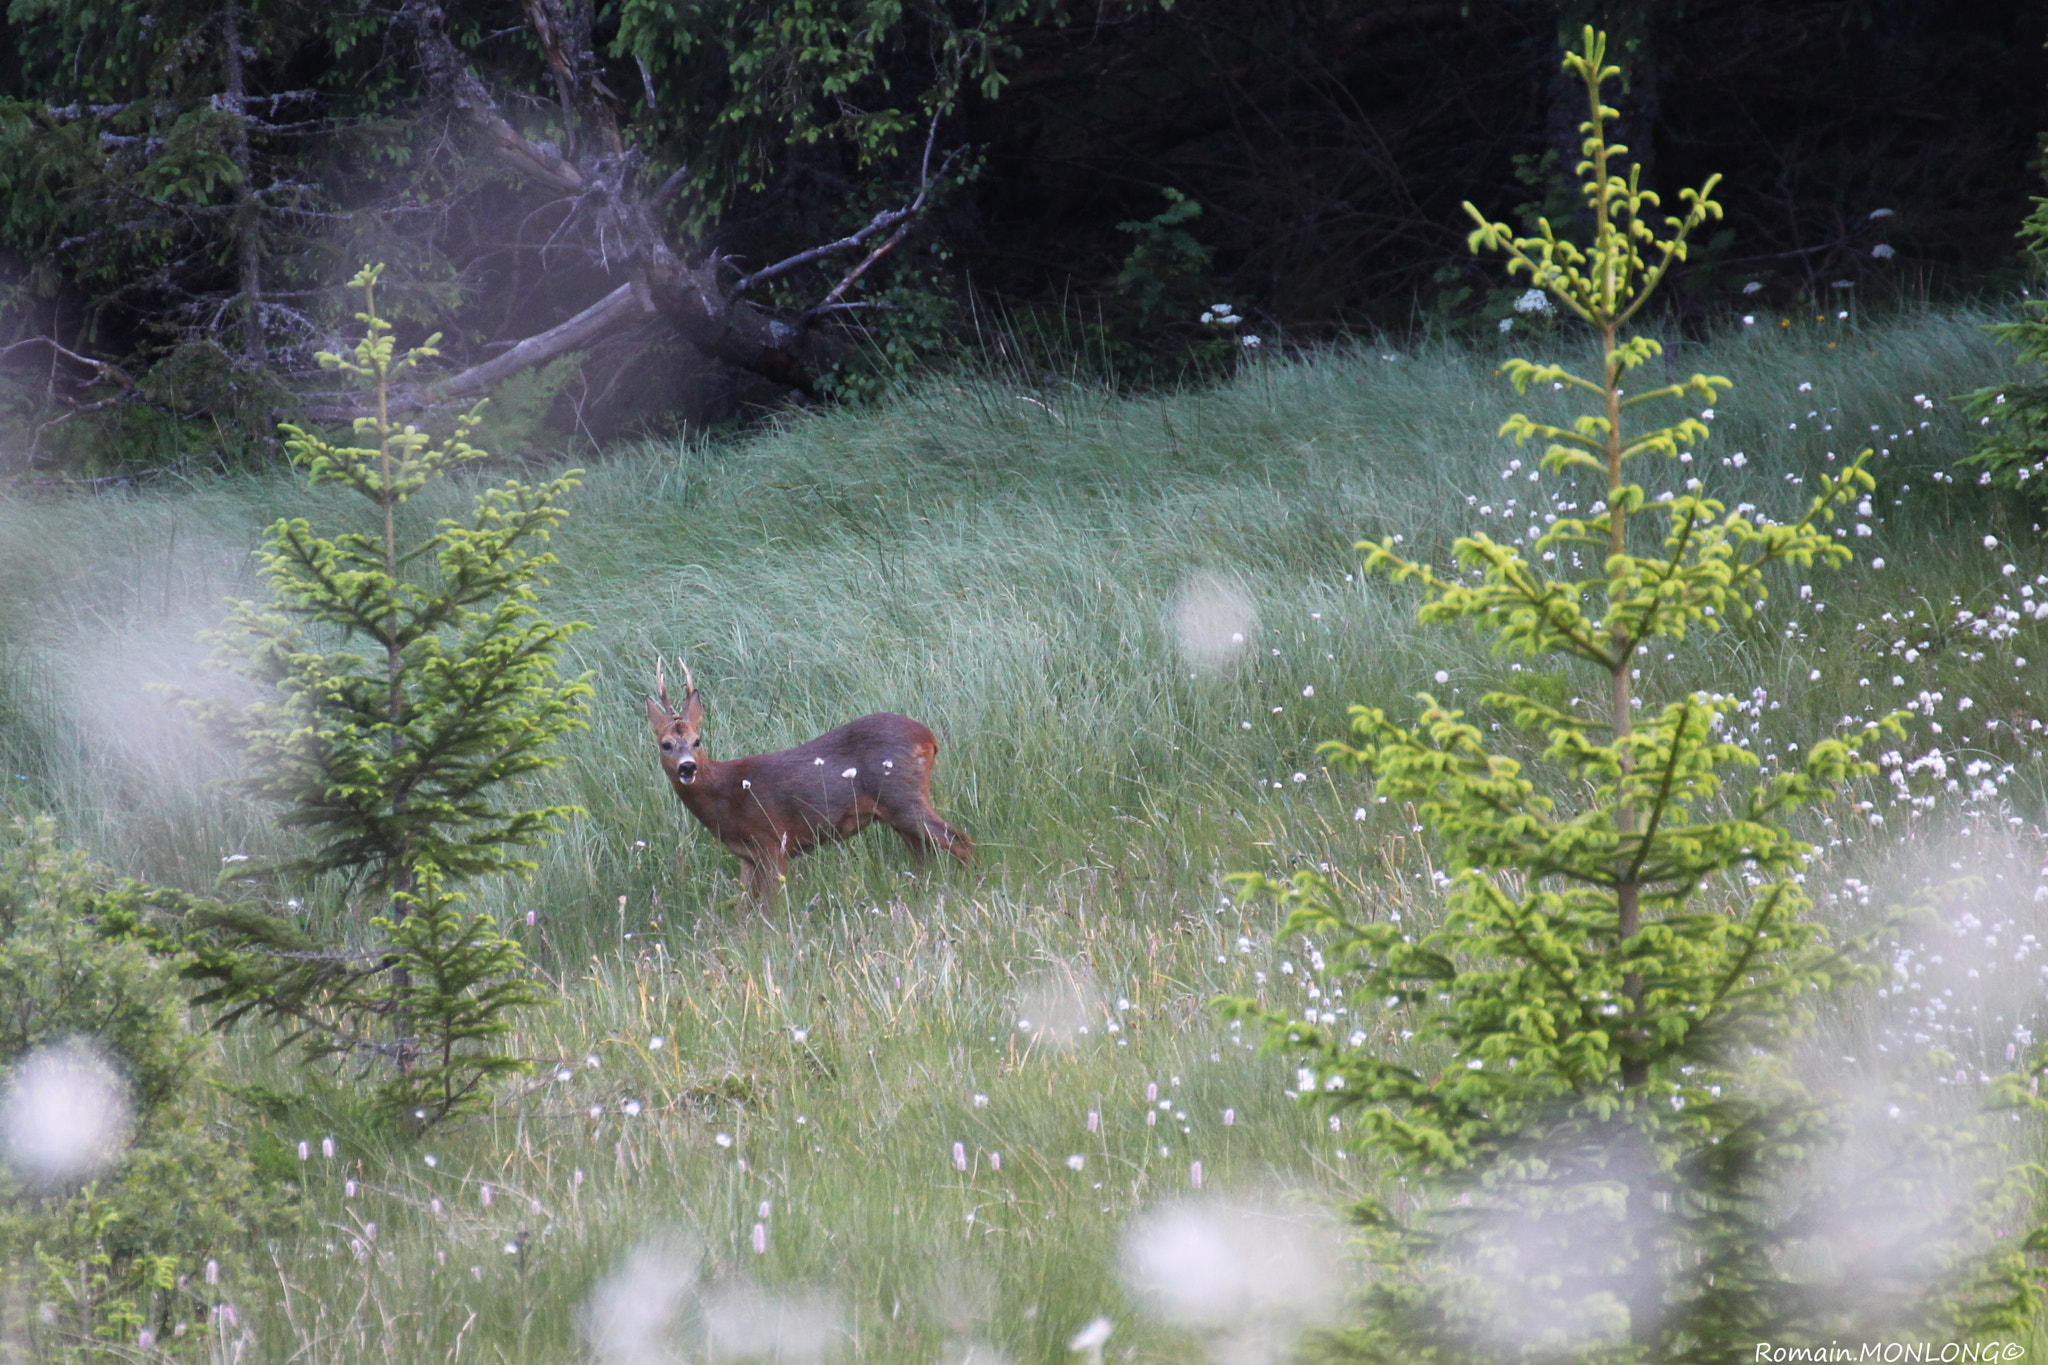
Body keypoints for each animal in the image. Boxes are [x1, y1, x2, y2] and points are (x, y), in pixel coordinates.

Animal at [655, 663, 974, 908]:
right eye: (665, 744)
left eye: (697, 741)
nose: (687, 767)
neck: (726, 791)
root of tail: (929, 737)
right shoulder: (748, 856)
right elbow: (744, 910)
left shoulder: (772, 840)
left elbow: (770, 906)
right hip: (898, 809)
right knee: (924, 855)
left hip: (902, 796)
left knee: (958, 840)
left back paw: (974, 884)